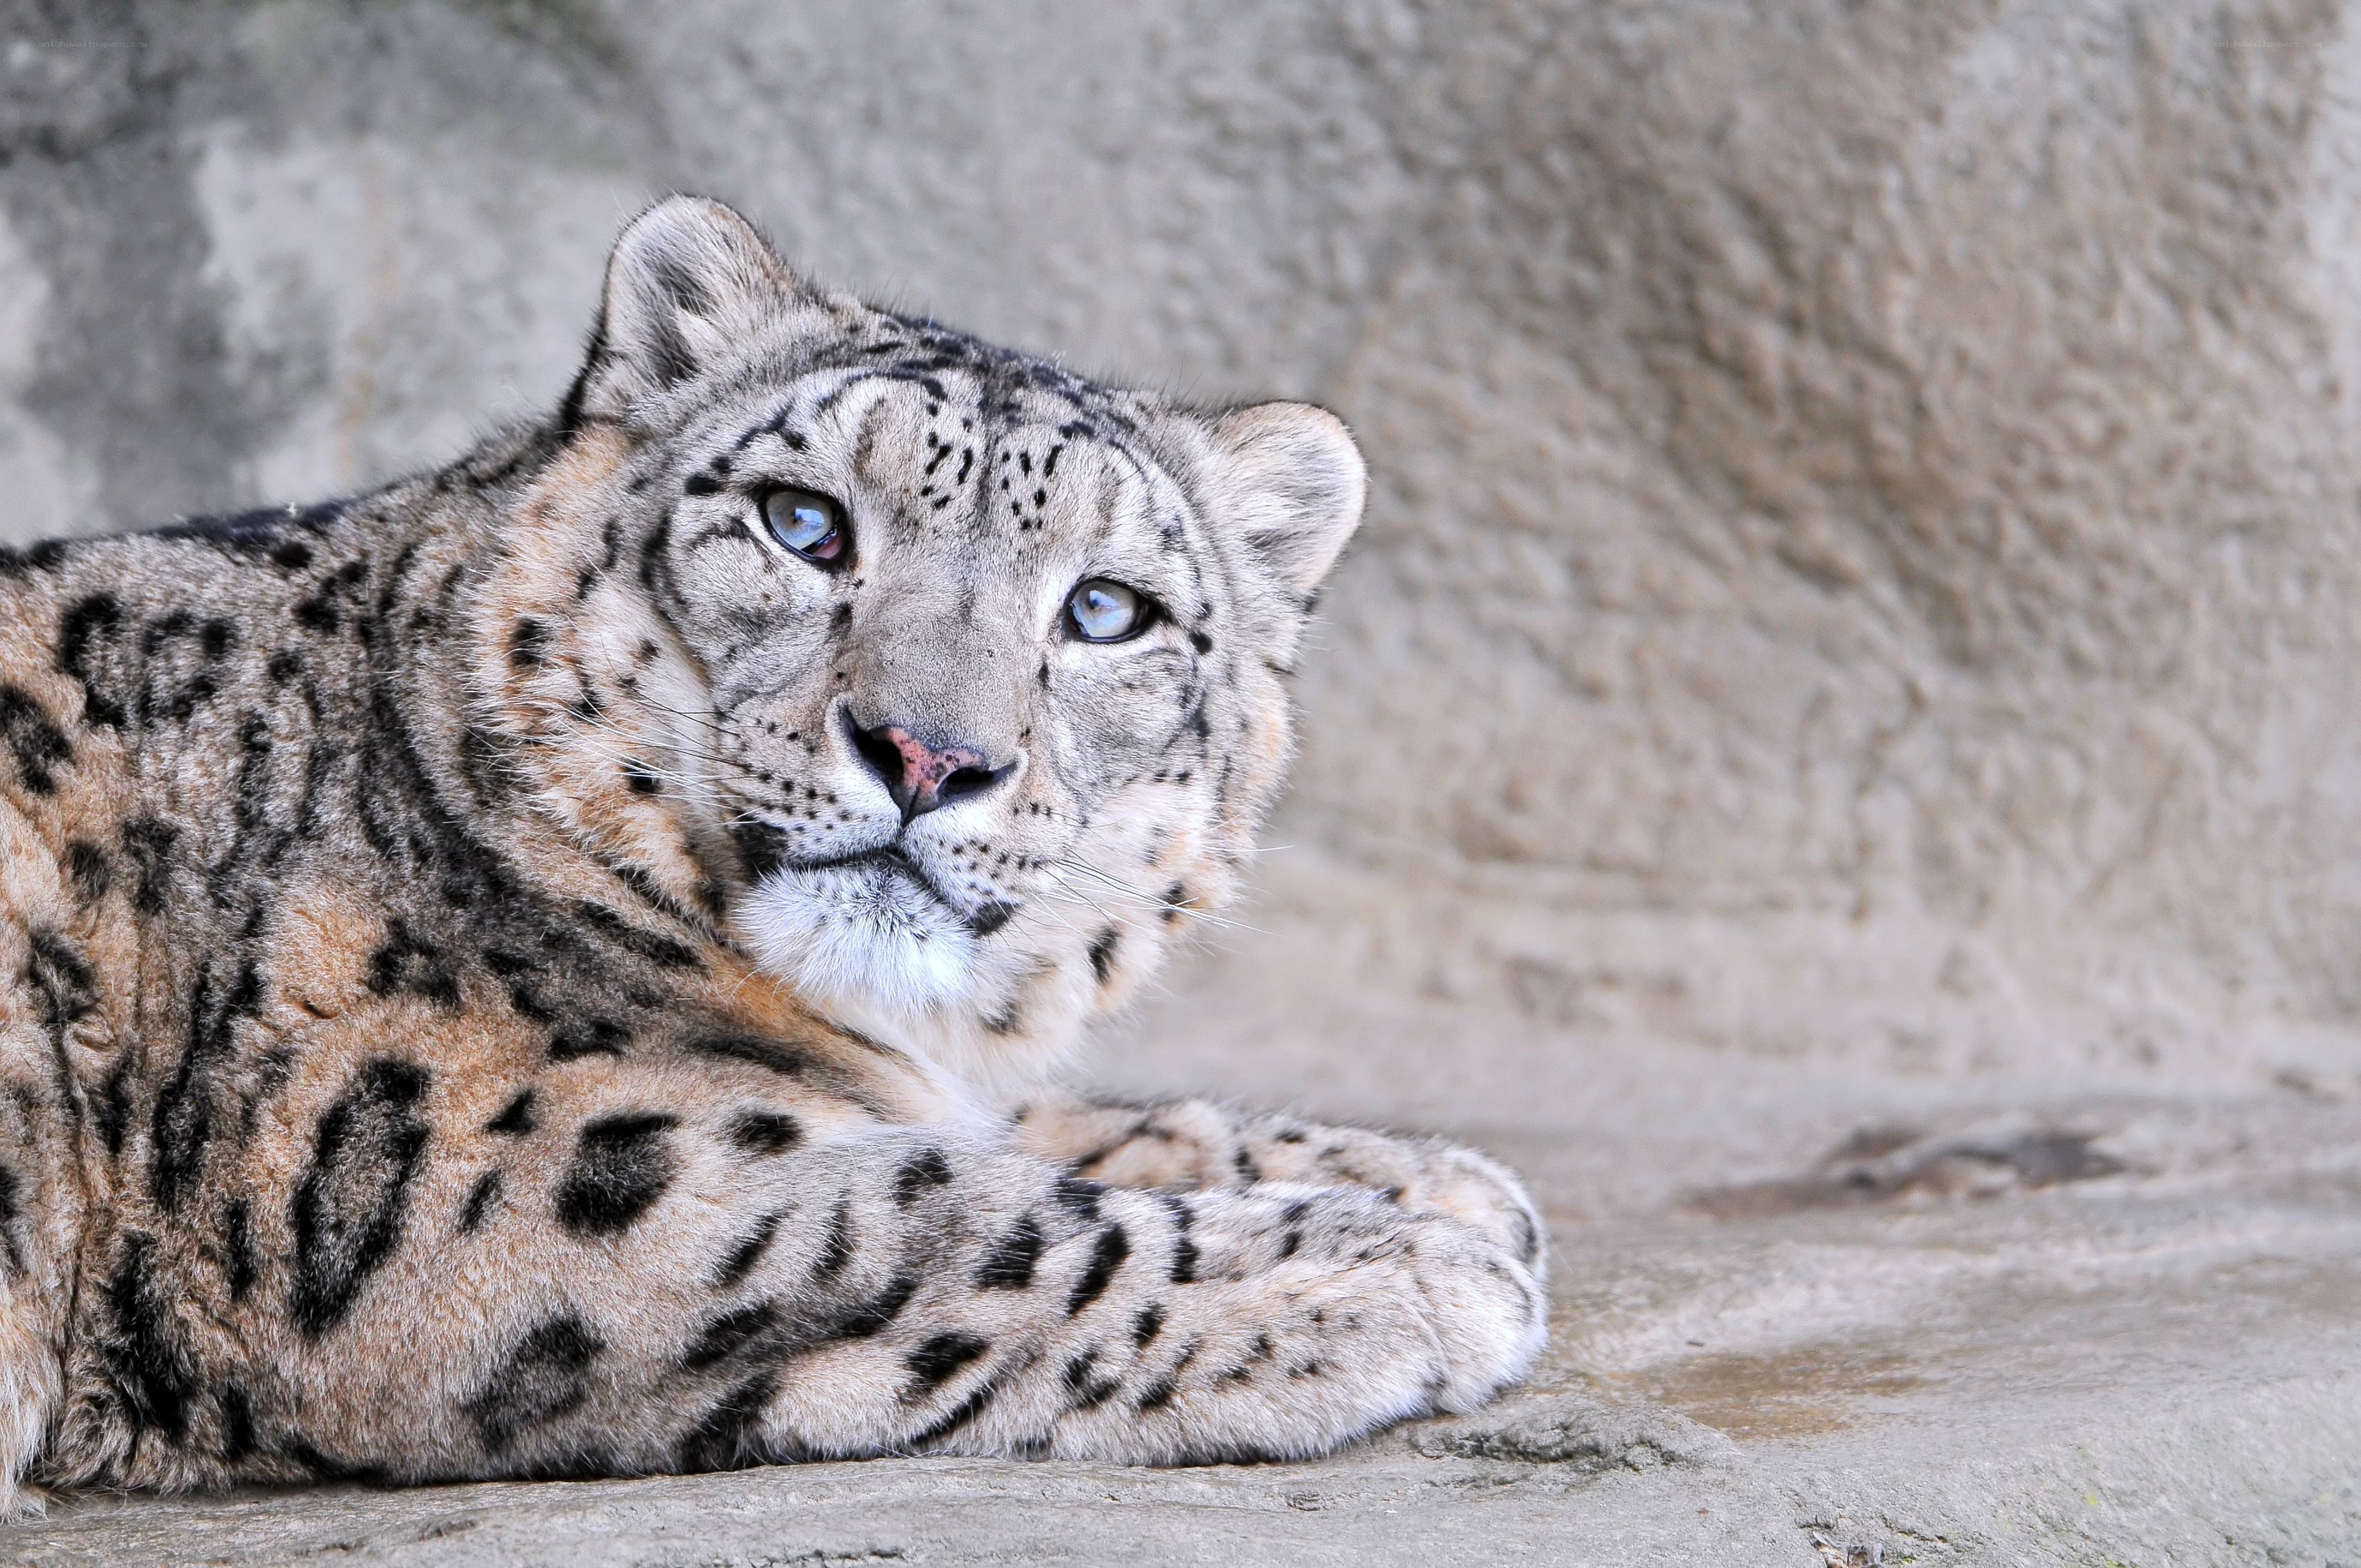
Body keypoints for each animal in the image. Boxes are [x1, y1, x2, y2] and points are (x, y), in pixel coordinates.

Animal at [0, 197, 1546, 1508]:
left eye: (1106, 610)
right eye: (803, 523)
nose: (927, 754)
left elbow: (1023, 1129)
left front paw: (1423, 1178)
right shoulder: (470, 1172)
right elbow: (932, 1216)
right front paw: (1395, 1261)